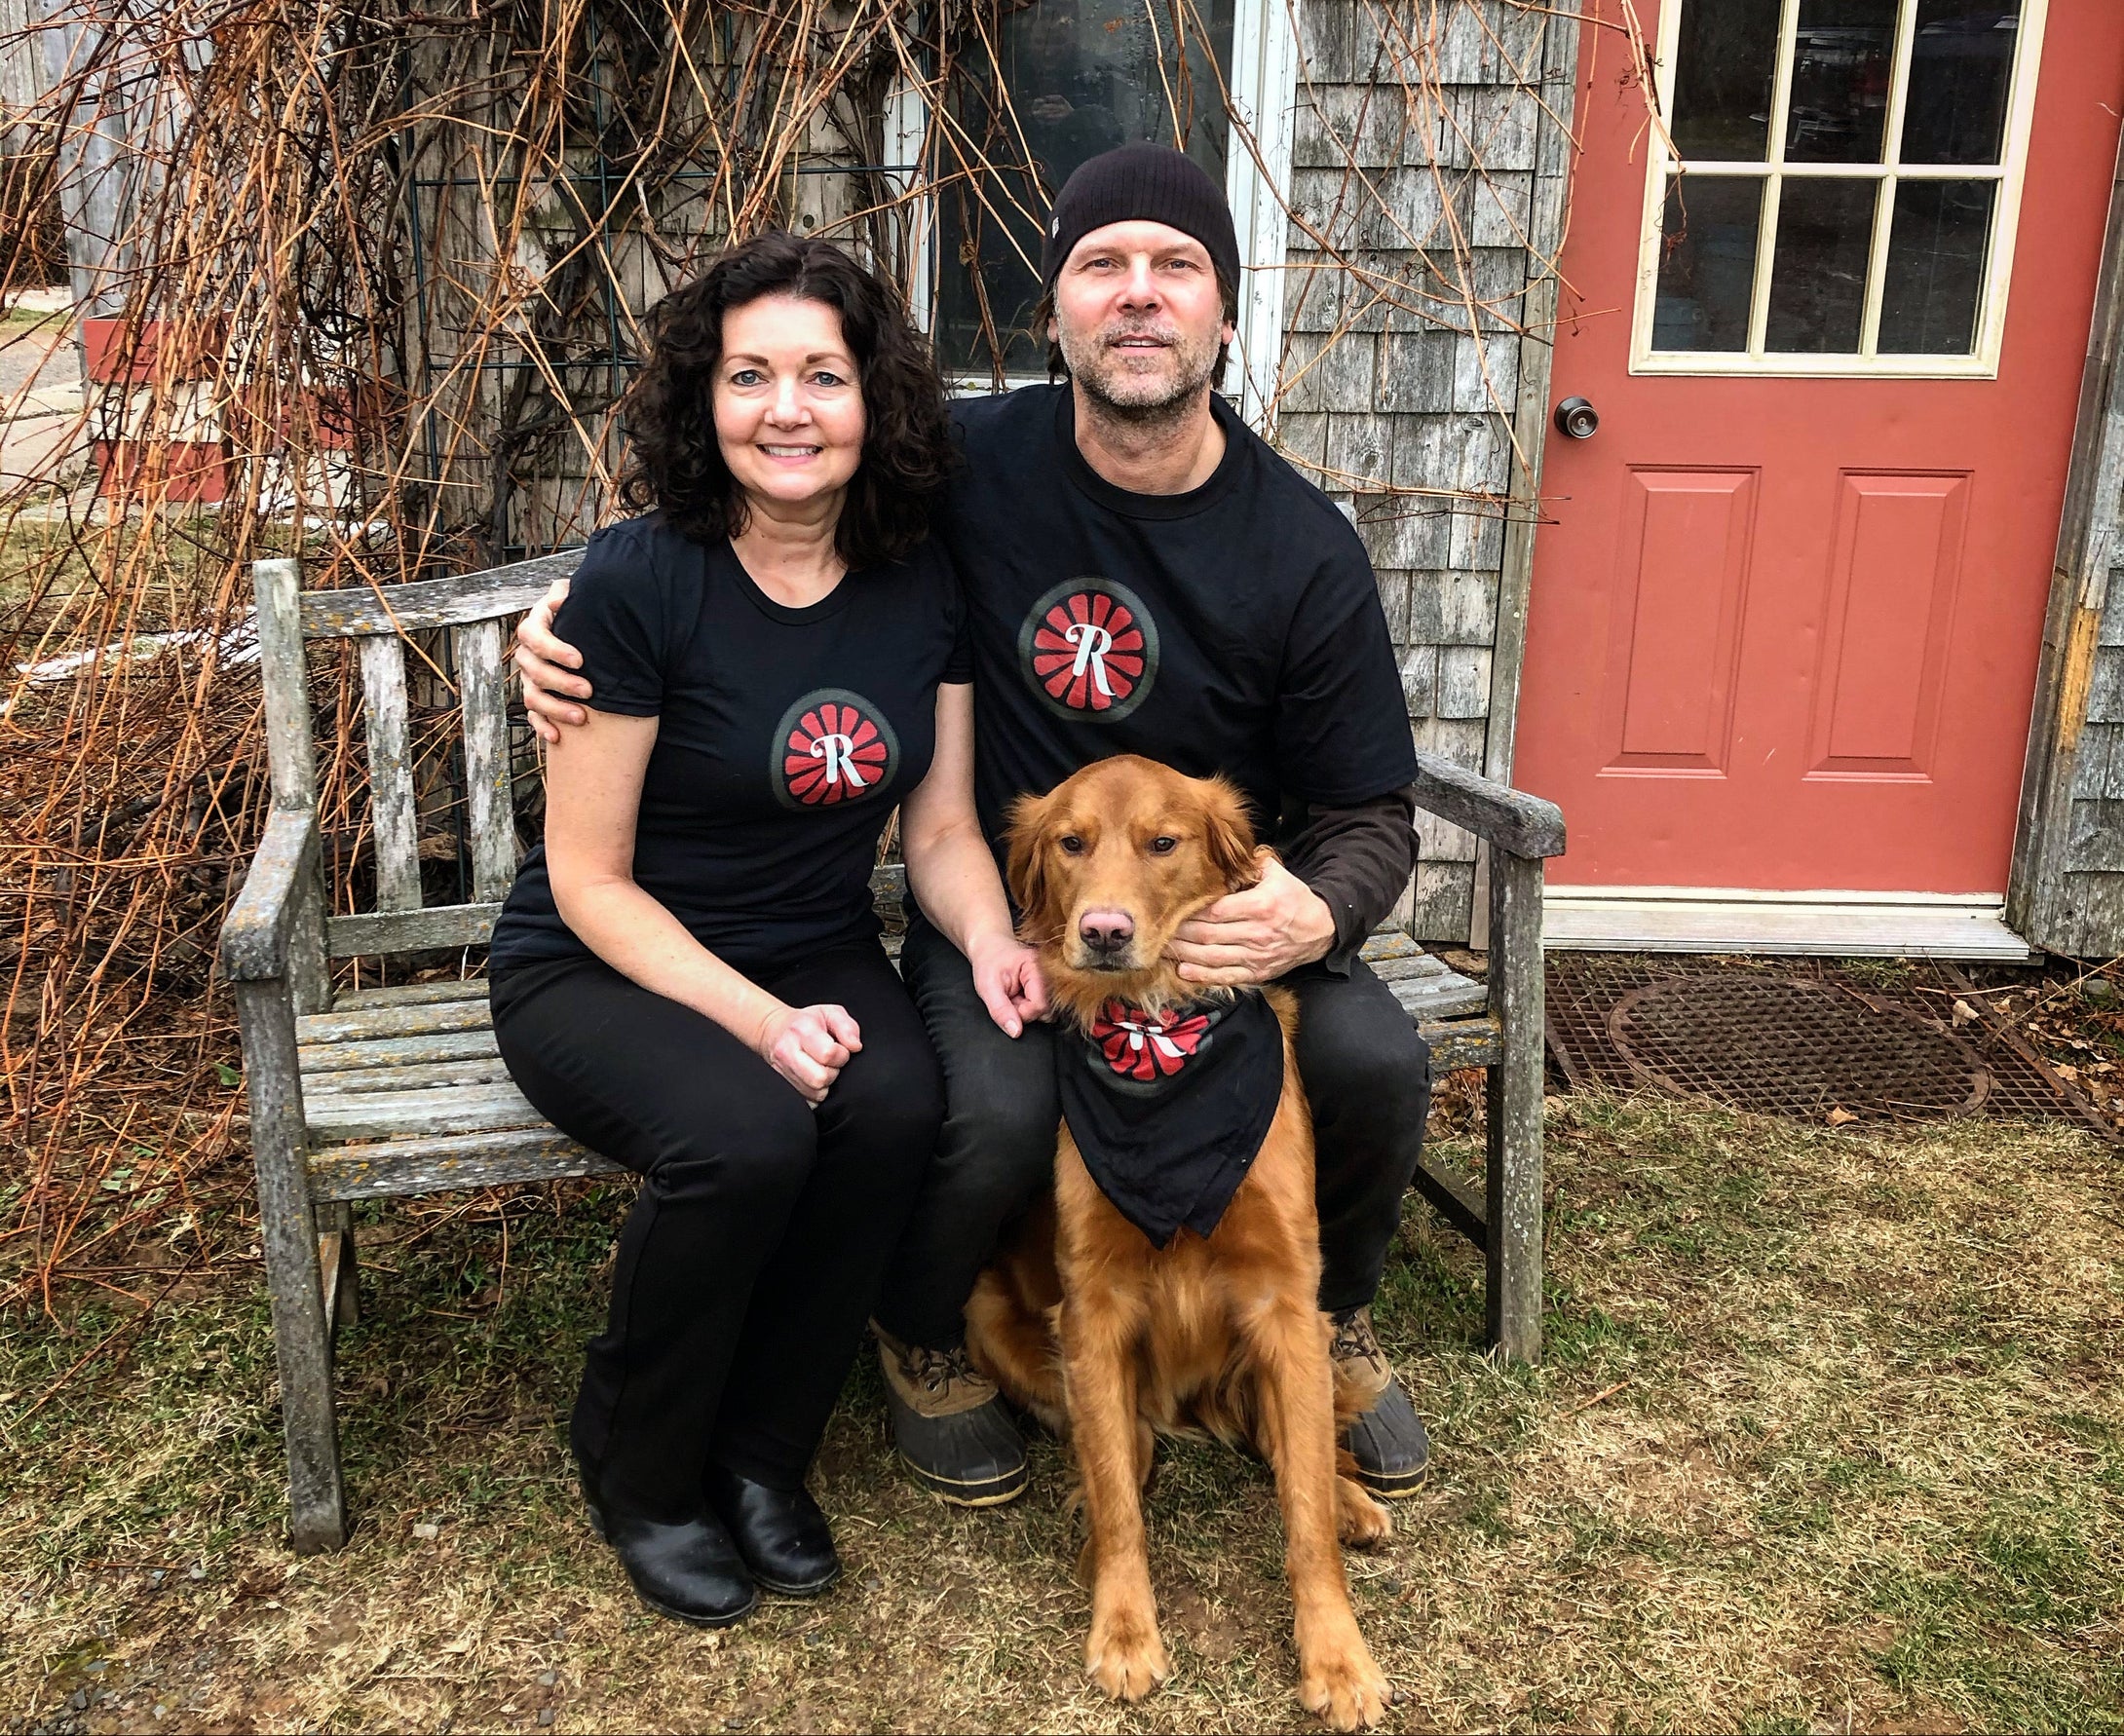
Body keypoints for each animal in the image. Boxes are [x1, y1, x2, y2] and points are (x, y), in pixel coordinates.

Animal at [967, 754, 1394, 1732]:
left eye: (1164, 843)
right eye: (1070, 843)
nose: (1104, 931)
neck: (1159, 1041)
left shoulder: (1286, 1303)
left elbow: (1302, 1515)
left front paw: (1338, 1656)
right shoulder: (1092, 1306)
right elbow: (1122, 1502)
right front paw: (1124, 1632)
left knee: (1293, 1451)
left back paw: (1352, 1499)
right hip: (991, 1314)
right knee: (1128, 1450)